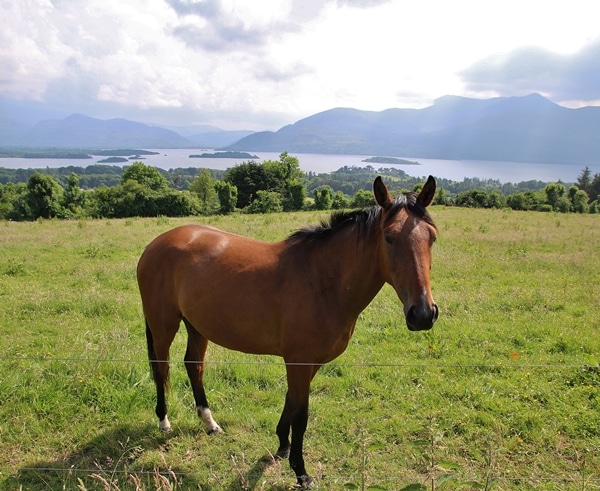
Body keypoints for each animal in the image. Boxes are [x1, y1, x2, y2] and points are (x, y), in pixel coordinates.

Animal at [139, 177, 440, 488]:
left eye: (432, 237)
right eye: (389, 238)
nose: (422, 314)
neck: (322, 280)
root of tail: (157, 243)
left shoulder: (309, 363)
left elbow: (291, 402)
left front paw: (282, 444)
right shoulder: (299, 361)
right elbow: (302, 415)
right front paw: (300, 471)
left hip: (197, 325)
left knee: (194, 365)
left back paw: (209, 423)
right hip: (164, 324)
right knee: (161, 368)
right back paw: (164, 421)